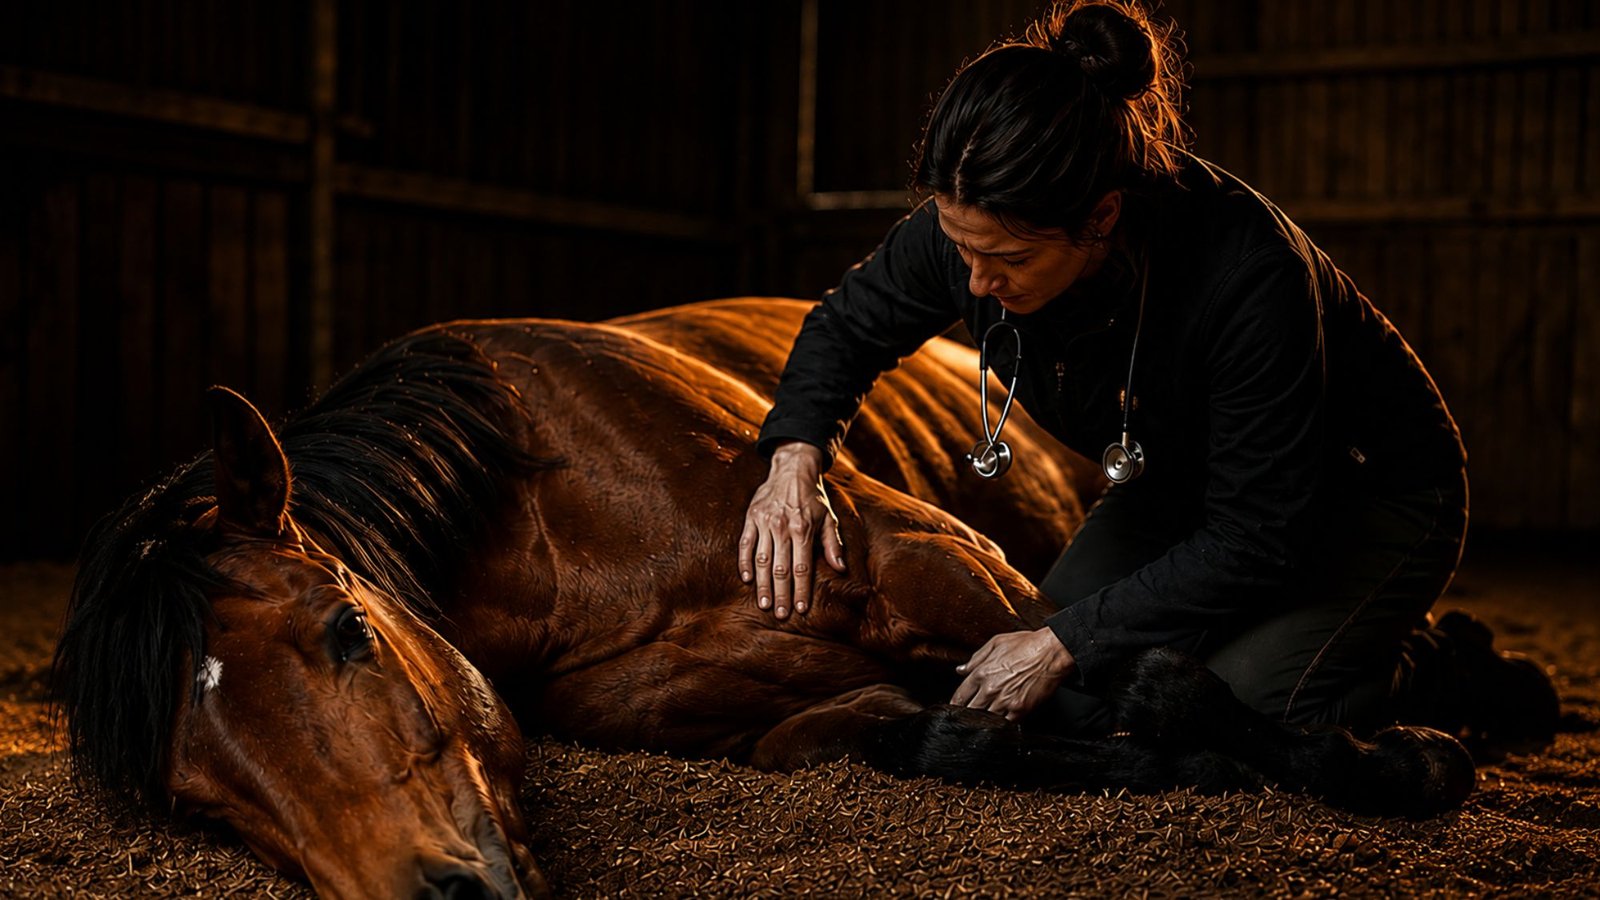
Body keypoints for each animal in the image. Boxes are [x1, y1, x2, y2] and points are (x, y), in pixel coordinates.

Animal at [54, 299, 1473, 899]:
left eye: (346, 630)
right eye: (196, 803)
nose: (434, 893)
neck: (537, 514)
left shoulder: (941, 565)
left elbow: (1146, 678)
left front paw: (1400, 764)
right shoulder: (782, 725)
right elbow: (945, 738)